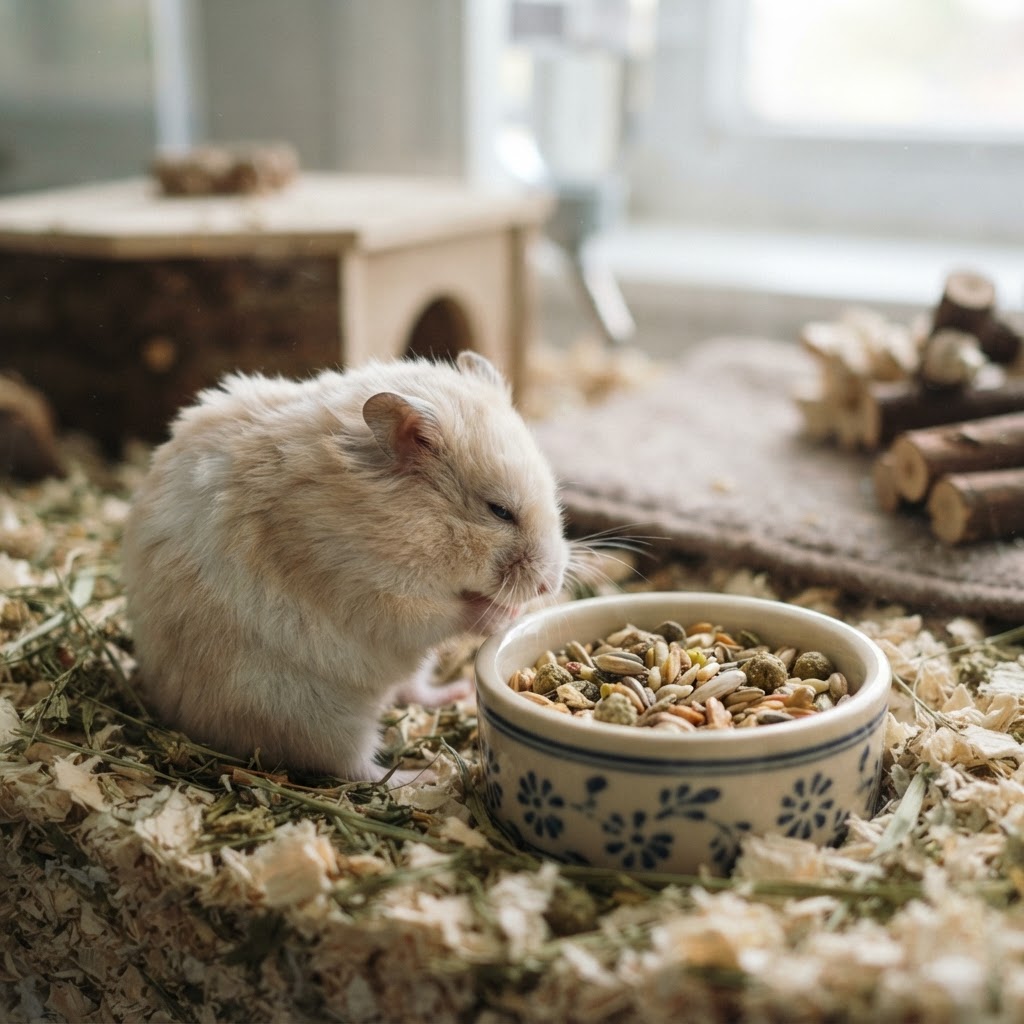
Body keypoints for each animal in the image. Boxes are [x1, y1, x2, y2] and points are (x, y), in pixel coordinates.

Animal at [121, 351, 568, 784]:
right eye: (499, 511)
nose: (551, 586)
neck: (412, 521)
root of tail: (178, 714)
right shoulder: (370, 591)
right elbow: (442, 615)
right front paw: (503, 615)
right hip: (311, 711)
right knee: (356, 768)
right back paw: (428, 776)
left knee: (409, 692)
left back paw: (454, 693)